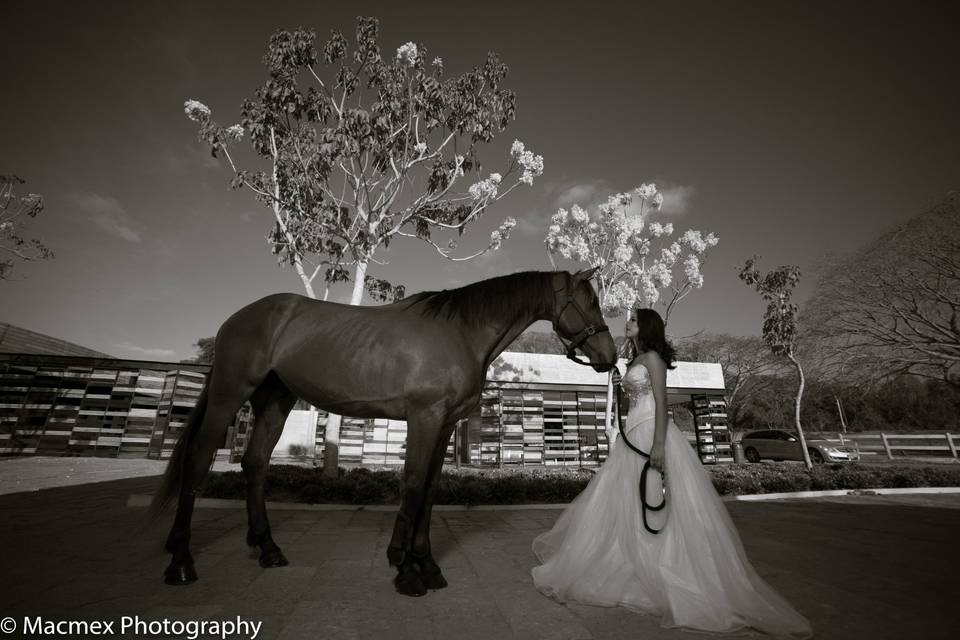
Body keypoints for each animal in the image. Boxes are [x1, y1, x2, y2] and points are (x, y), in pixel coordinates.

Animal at [150, 268, 616, 596]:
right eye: (589, 301)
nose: (609, 356)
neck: (460, 332)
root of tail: (240, 317)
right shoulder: (425, 418)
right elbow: (411, 484)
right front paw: (406, 569)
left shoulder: (445, 425)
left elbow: (429, 490)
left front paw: (427, 564)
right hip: (230, 393)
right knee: (198, 460)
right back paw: (181, 562)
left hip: (275, 400)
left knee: (255, 463)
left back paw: (268, 549)